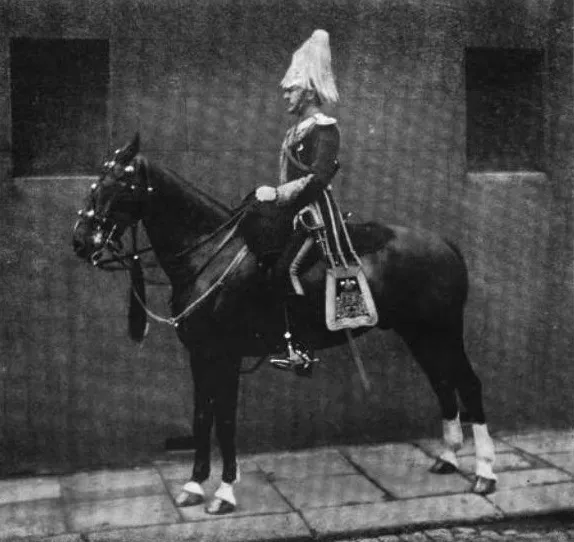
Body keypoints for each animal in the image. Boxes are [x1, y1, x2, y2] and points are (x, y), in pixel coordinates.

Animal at [73, 134, 500, 516]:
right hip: (419, 334)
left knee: (468, 384)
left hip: (443, 331)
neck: (209, 254)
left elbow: (224, 420)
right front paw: (194, 485)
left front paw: (224, 492)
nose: (81, 241)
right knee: (442, 383)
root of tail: (444, 243)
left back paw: (484, 473)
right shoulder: (202, 355)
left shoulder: (225, 355)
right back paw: (448, 458)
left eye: (119, 184)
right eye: (96, 182)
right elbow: (202, 417)